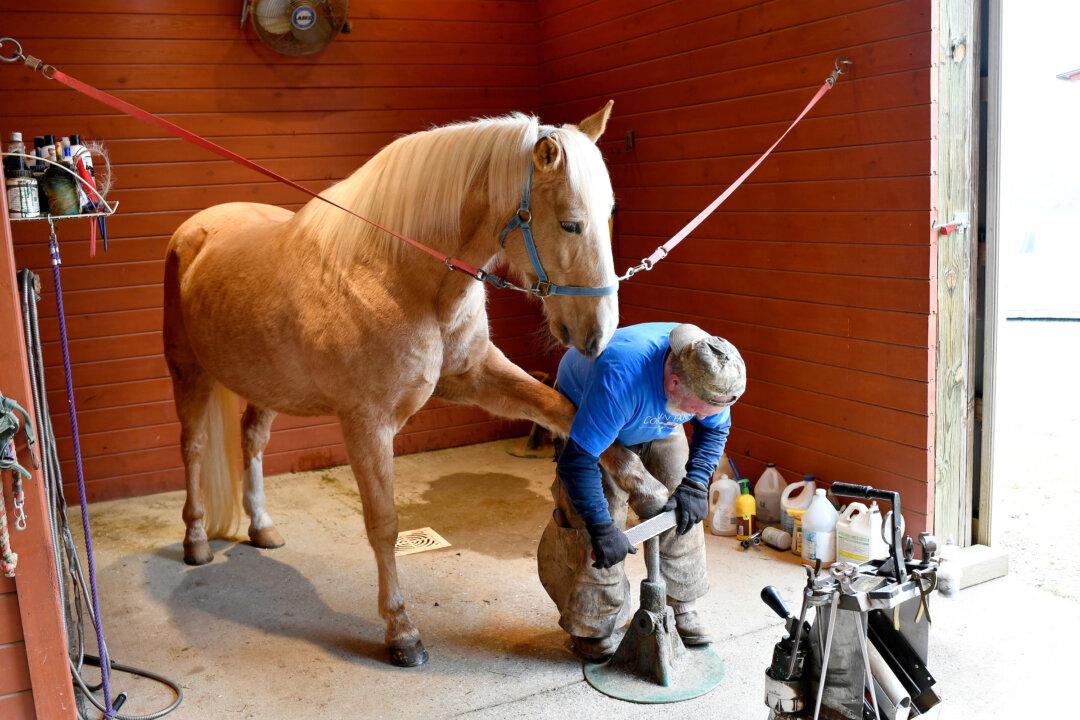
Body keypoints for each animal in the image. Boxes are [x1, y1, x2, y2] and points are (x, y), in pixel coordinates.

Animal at [162, 102, 668, 666]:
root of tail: (199, 230)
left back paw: (262, 528)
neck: (394, 273)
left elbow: (561, 408)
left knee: (251, 440)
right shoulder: (367, 424)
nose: (597, 334)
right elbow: (384, 524)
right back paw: (197, 540)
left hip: (265, 386)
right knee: (194, 448)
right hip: (189, 374)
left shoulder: (476, 376)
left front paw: (647, 488)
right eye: (570, 223)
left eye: (609, 215)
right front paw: (401, 631)